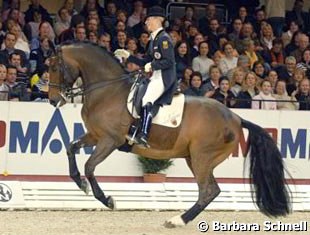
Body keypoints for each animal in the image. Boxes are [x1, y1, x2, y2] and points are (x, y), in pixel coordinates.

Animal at [48, 41, 290, 228]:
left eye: (54, 67)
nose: (52, 99)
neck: (108, 91)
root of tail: (236, 117)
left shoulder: (110, 140)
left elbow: (90, 166)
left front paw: (107, 200)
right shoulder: (95, 135)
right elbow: (71, 148)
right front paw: (80, 183)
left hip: (202, 157)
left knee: (208, 190)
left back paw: (177, 220)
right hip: (195, 158)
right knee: (211, 190)